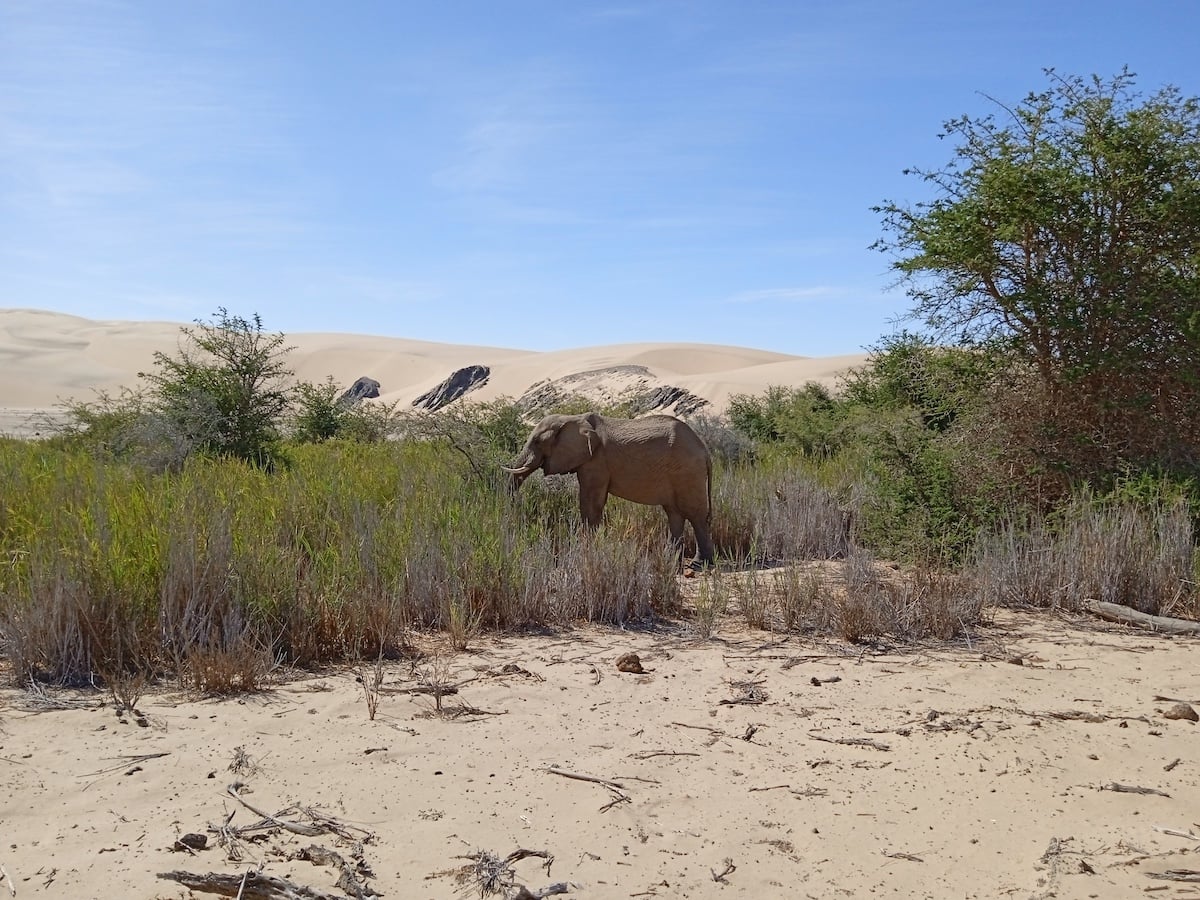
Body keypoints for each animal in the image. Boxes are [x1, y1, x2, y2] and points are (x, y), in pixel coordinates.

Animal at [503, 412, 715, 565]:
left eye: (537, 442)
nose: (512, 510)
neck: (573, 418)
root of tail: (705, 451)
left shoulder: (596, 461)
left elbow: (591, 503)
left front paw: (587, 547)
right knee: (674, 513)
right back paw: (670, 559)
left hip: (687, 471)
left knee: (694, 514)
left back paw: (699, 563)